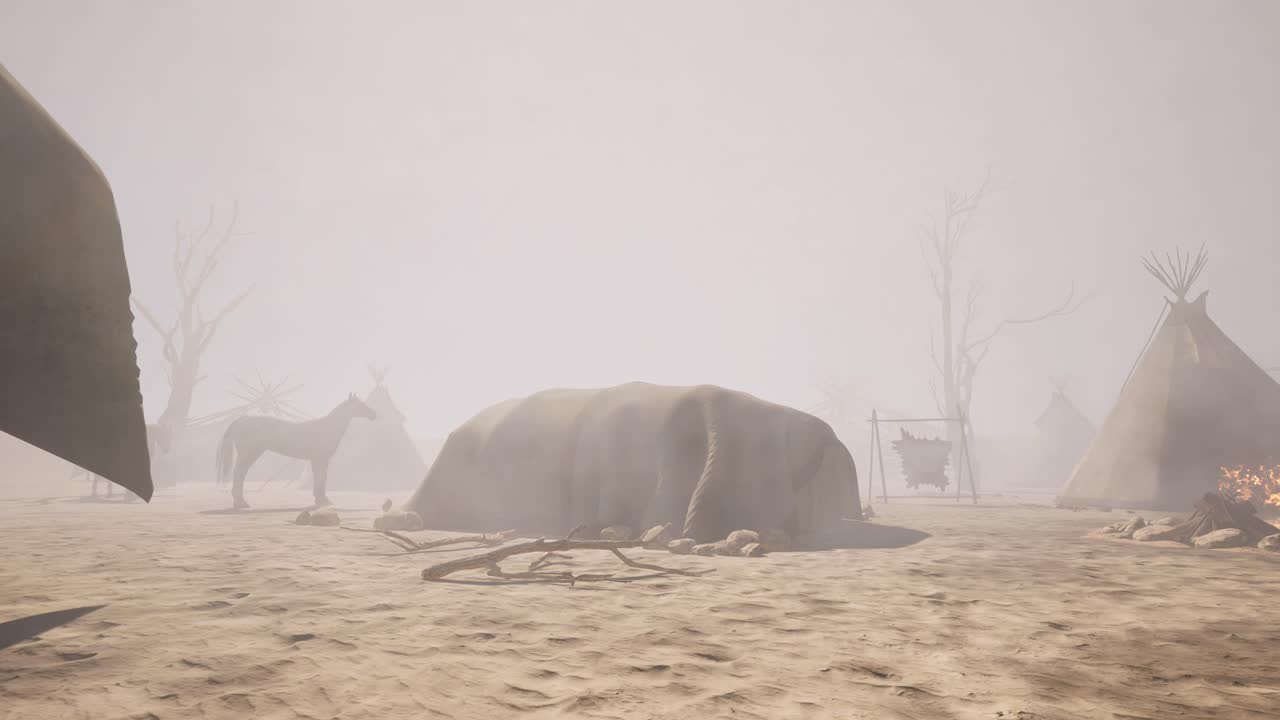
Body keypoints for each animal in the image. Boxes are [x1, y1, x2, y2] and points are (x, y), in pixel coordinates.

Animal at [216, 393, 375, 509]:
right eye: (359, 404)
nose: (373, 414)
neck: (326, 427)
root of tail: (241, 420)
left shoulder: (316, 460)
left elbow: (319, 478)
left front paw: (320, 499)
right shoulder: (321, 459)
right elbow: (322, 478)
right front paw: (323, 501)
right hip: (249, 453)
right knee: (239, 474)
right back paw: (241, 502)